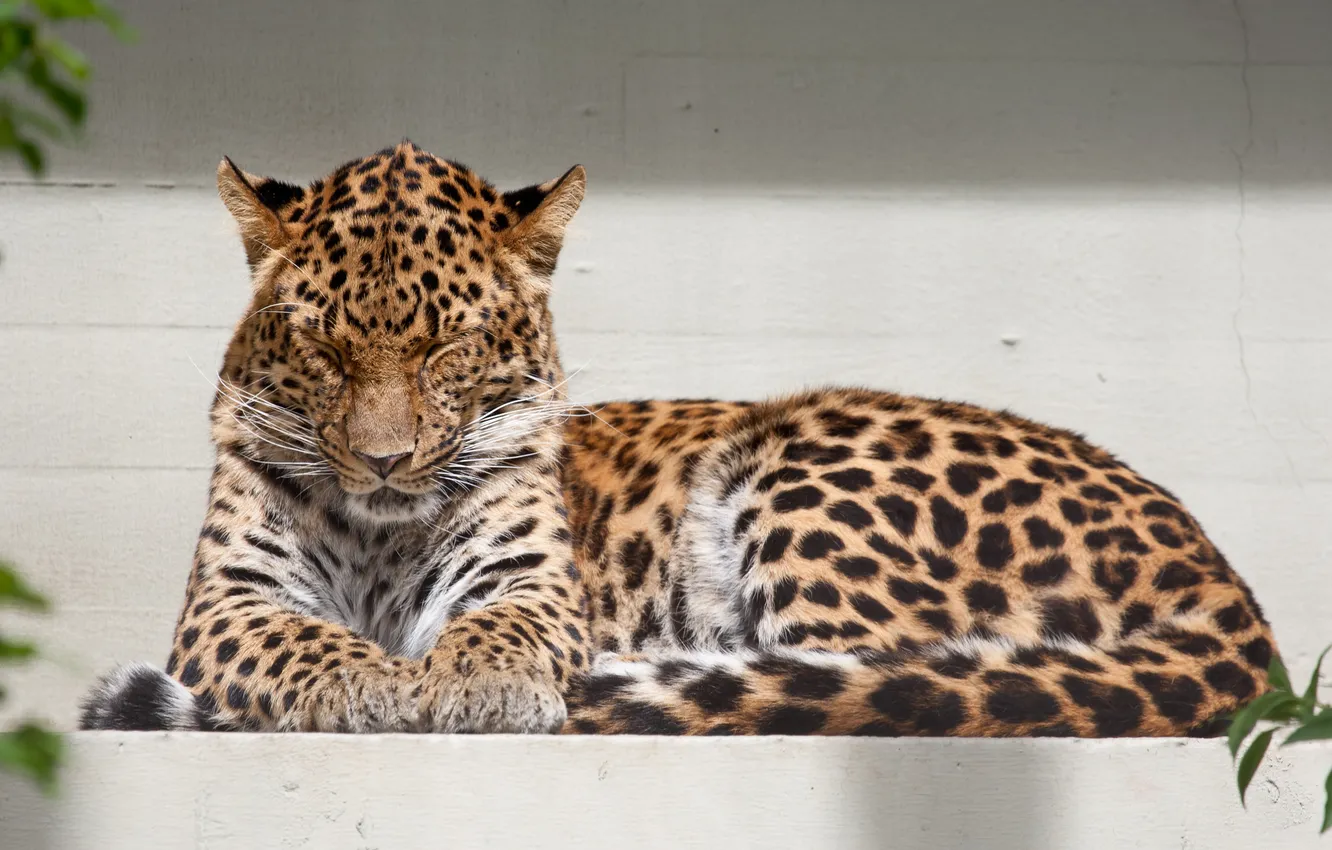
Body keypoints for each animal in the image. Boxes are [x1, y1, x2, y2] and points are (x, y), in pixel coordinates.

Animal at [80, 141, 1278, 737]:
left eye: (449, 347)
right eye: (324, 347)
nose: (382, 461)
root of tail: (1226, 582)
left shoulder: (528, 582)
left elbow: (498, 633)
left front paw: (469, 688)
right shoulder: (228, 600)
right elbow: (302, 638)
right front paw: (372, 685)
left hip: (802, 464)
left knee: (883, 686)